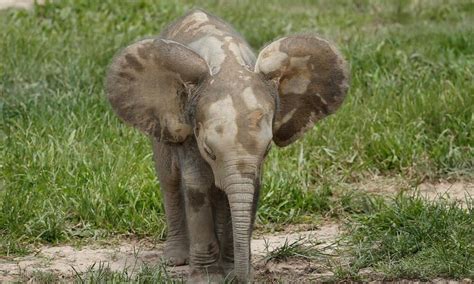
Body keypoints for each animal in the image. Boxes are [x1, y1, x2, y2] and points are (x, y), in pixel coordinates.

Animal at [106, 7, 348, 282]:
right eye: (209, 151)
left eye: (267, 150)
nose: (242, 277)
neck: (227, 66)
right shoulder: (189, 126)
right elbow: (197, 185)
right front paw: (207, 278)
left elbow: (249, 188)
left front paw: (231, 271)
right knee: (169, 179)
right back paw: (176, 260)